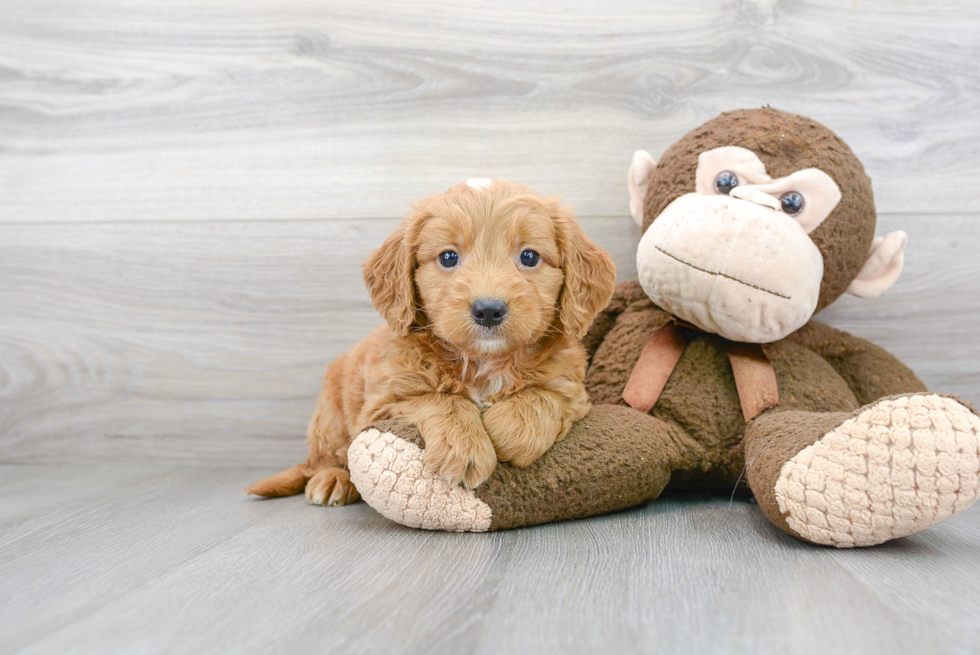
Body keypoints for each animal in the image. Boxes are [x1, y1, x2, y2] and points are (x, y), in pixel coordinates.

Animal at [247, 179, 612, 508]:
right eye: (448, 257)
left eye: (530, 256)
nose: (489, 310)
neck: (481, 362)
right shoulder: (383, 402)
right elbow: (438, 399)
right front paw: (465, 448)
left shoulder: (572, 389)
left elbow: (541, 397)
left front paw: (506, 431)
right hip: (331, 415)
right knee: (326, 458)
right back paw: (333, 480)